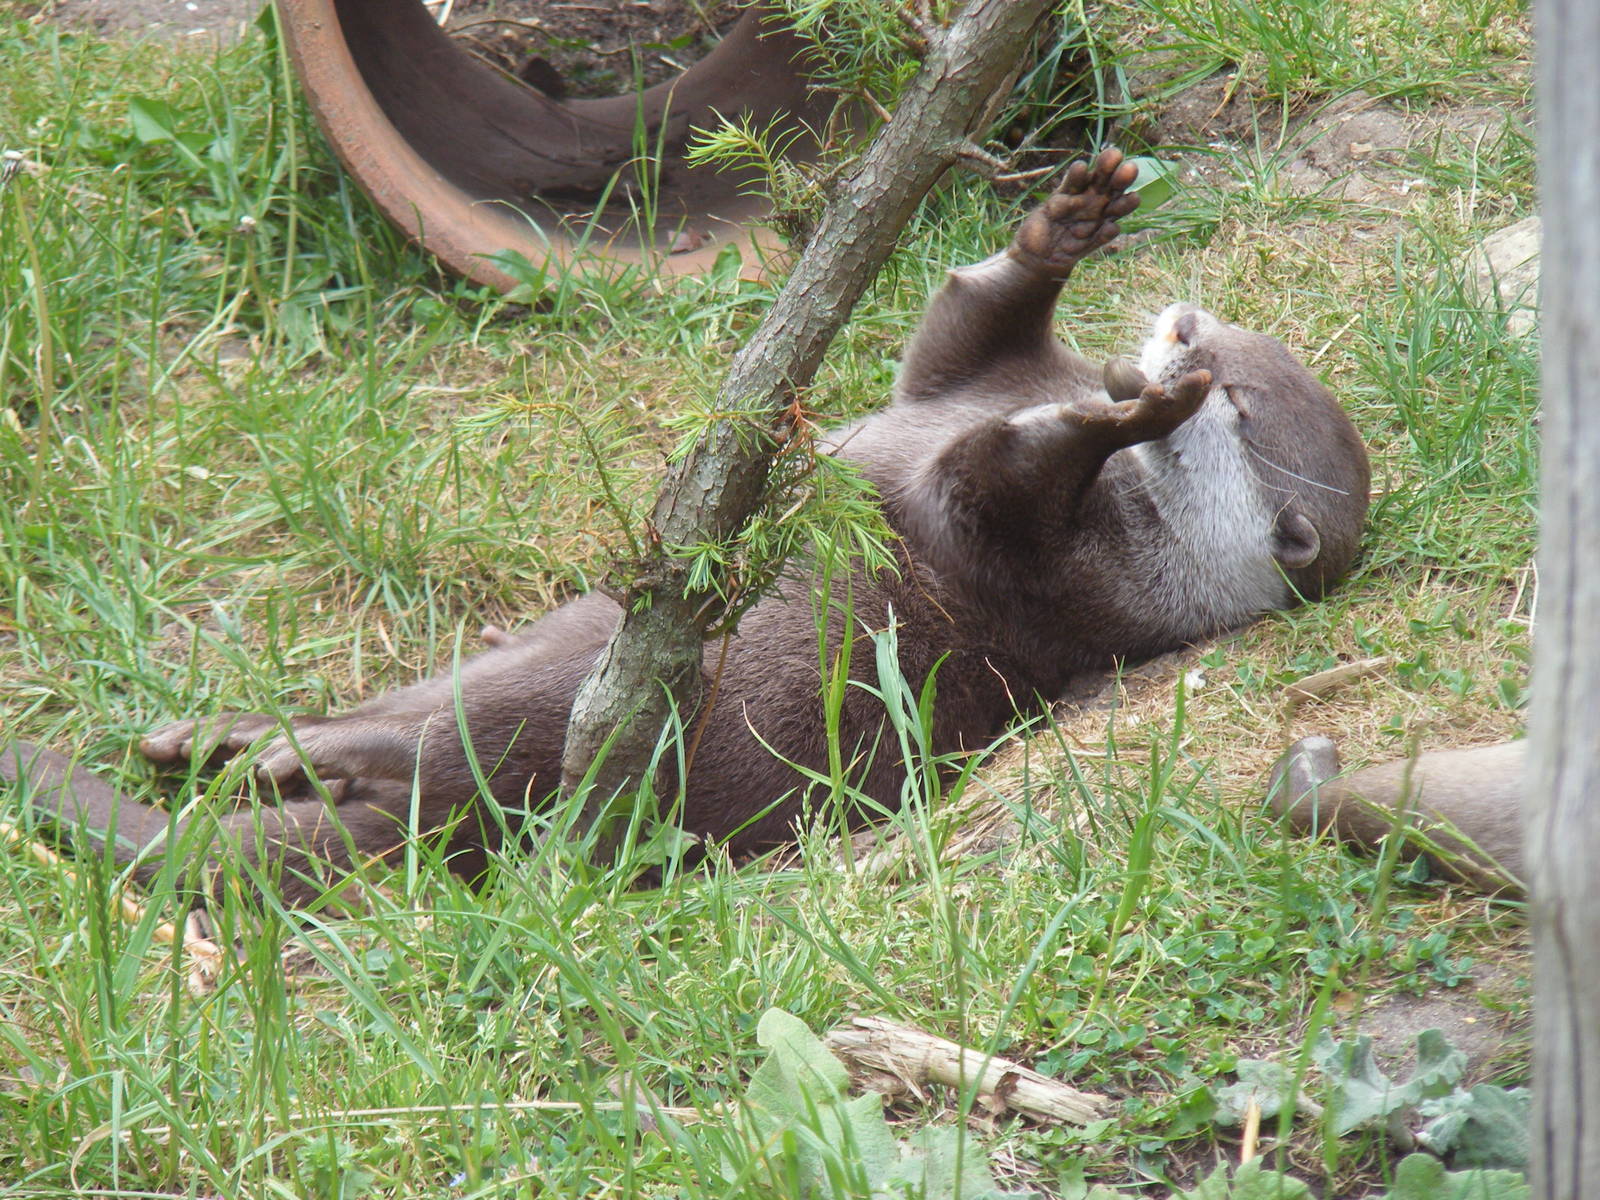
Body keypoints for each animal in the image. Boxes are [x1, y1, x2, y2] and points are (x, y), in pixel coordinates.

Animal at [2, 150, 1370, 904]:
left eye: (1244, 402)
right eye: (1237, 332)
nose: (1182, 332)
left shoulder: (1051, 563)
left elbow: (984, 488)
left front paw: (1134, 410)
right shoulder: (964, 379)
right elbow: (961, 315)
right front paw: (1067, 230)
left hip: (590, 704)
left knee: (452, 747)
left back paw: (296, 760)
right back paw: (221, 738)